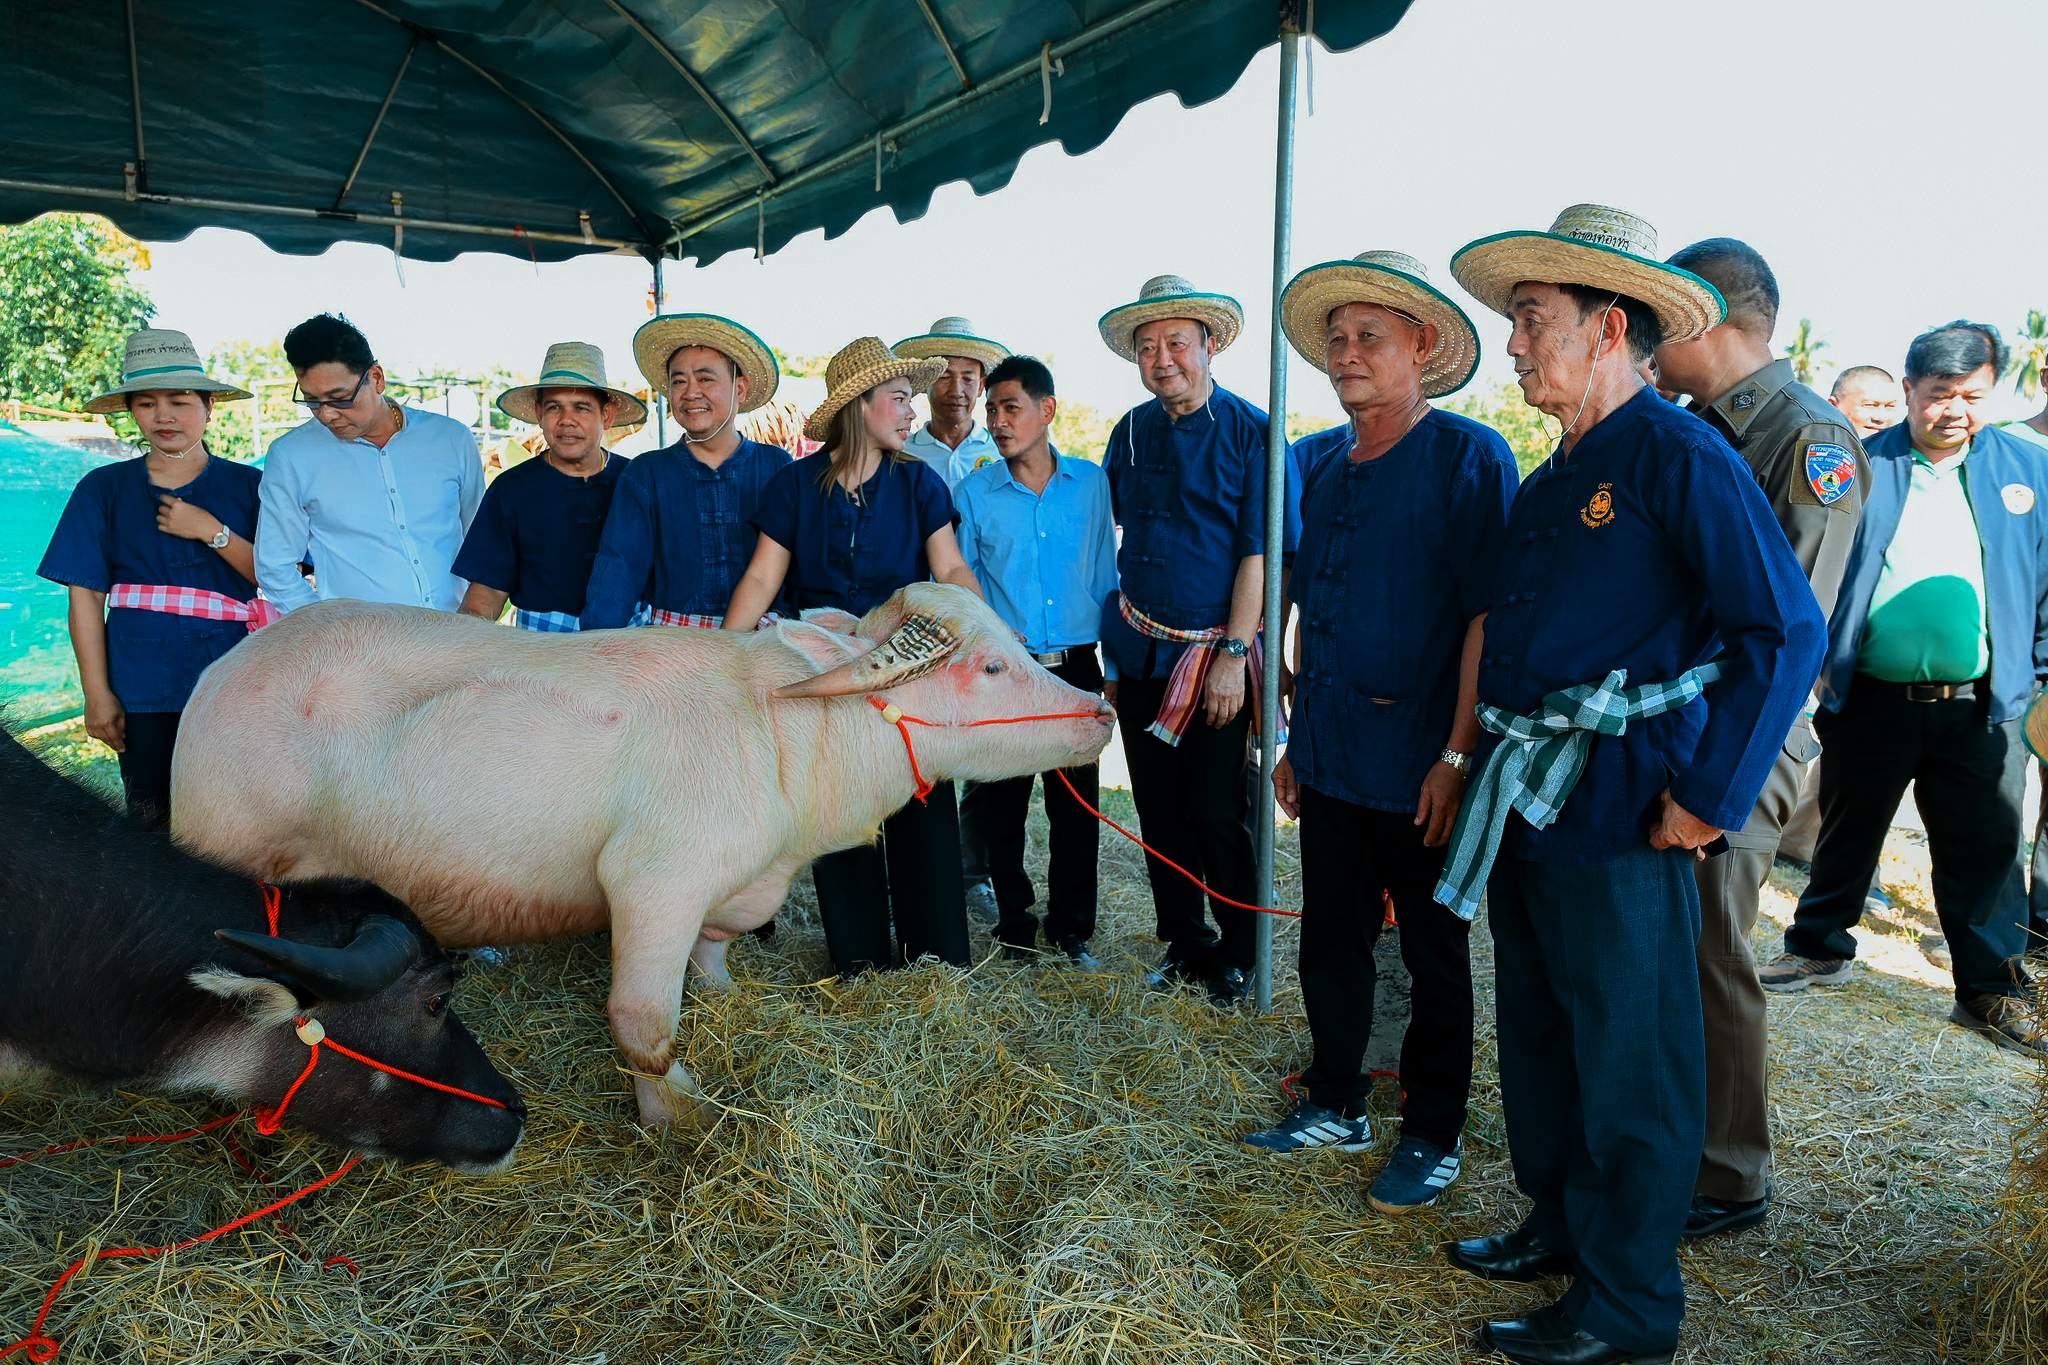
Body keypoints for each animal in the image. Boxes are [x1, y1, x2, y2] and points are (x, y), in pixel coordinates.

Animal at [172, 581, 1122, 1129]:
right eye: (991, 667)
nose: (1104, 709)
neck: (780, 730)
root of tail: (214, 680)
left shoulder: (722, 891)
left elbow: (711, 958)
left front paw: (726, 998)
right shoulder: (654, 883)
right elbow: (644, 1025)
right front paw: (678, 1121)